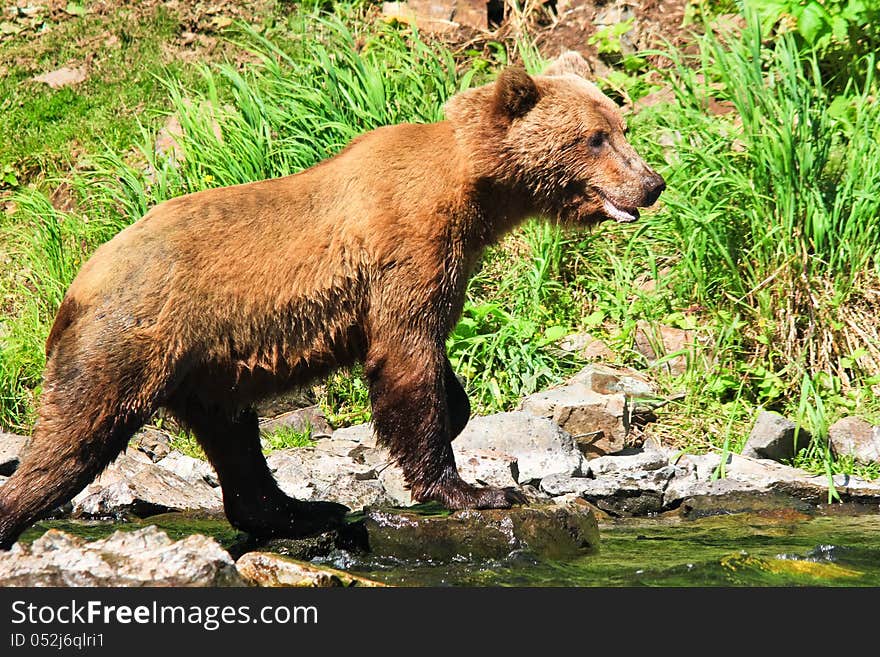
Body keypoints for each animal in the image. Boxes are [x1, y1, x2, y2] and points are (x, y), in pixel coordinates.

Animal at [0, 51, 664, 548]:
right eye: (595, 138)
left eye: (620, 127)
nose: (652, 183)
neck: (473, 193)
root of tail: (77, 281)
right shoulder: (407, 248)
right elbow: (407, 357)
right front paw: (474, 489)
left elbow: (429, 363)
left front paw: (458, 415)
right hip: (128, 341)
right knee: (72, 442)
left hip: (206, 369)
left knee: (235, 442)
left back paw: (300, 510)